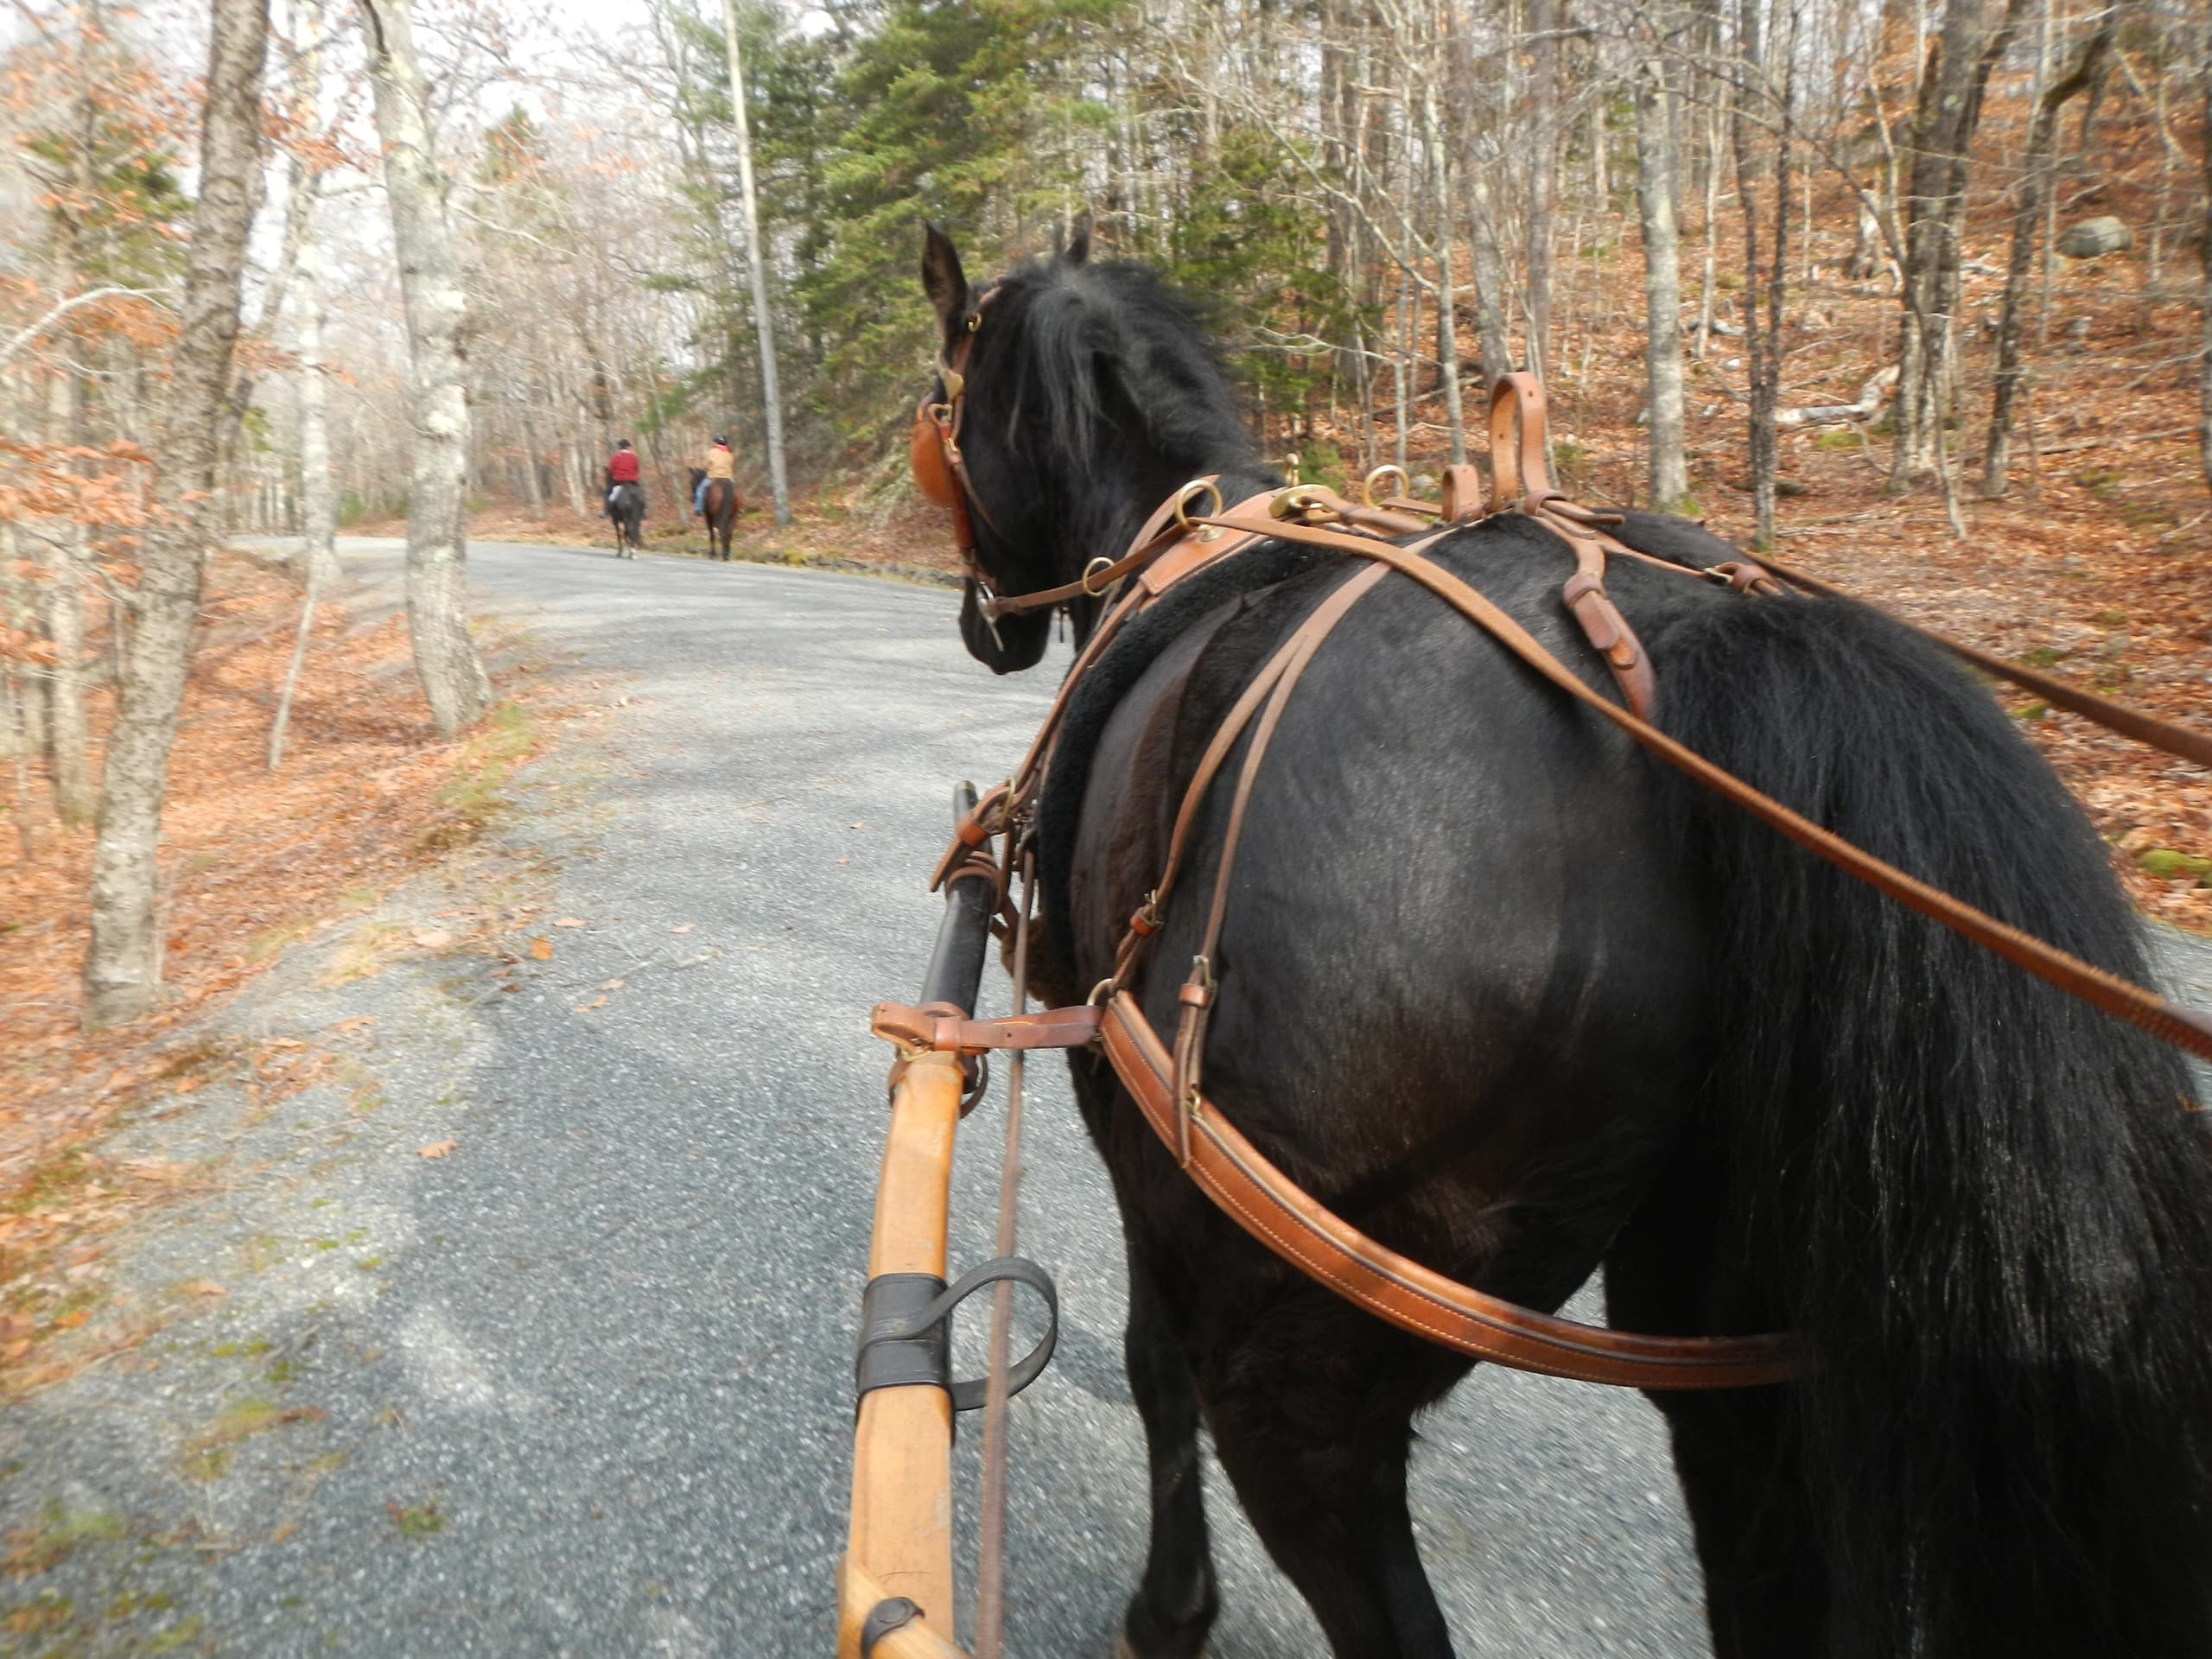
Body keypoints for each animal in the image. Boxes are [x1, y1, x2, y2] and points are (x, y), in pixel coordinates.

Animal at [914, 223, 2212, 1659]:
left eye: (939, 403)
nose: (985, 626)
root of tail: (1693, 639)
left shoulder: (1126, 1109)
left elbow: (1152, 1361)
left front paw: (1170, 1610)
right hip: (1742, 1362)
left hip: (1301, 1359)